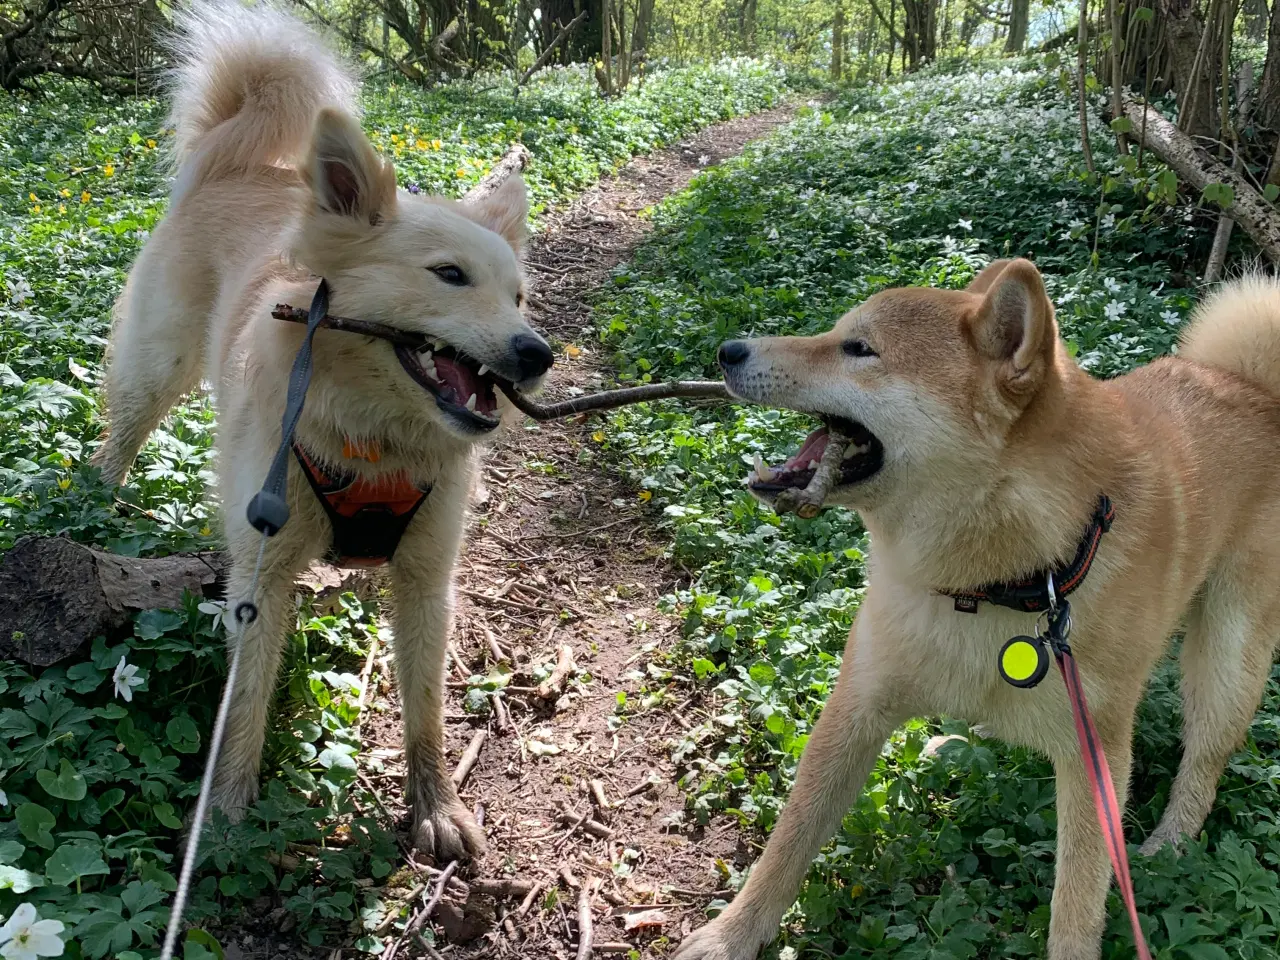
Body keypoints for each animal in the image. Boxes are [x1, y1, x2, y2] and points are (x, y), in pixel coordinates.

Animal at [90, 0, 550, 855]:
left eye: (519, 298)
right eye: (449, 276)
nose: (536, 355)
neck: (371, 436)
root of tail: (235, 164)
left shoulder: (427, 578)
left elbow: (425, 710)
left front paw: (435, 803)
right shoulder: (262, 574)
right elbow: (245, 703)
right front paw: (227, 811)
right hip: (156, 368)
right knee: (119, 437)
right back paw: (93, 506)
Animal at [686, 259, 1280, 957]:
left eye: (859, 349)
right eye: (836, 332)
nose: (728, 351)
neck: (995, 585)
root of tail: (1251, 388)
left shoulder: (1095, 754)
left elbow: (1075, 905)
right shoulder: (857, 703)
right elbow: (789, 839)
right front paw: (731, 934)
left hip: (1225, 664)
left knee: (1204, 762)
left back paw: (1172, 841)